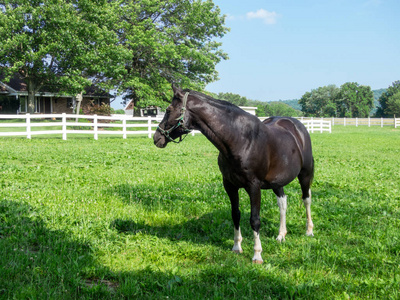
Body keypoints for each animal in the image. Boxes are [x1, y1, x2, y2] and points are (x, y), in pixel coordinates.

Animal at [152, 85, 312, 264]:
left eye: (168, 110)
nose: (156, 138)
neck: (241, 140)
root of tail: (297, 126)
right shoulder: (229, 185)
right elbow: (235, 214)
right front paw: (236, 247)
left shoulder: (253, 186)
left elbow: (255, 220)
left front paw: (257, 254)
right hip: (277, 182)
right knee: (283, 203)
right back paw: (281, 235)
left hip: (305, 174)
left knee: (306, 199)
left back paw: (309, 231)